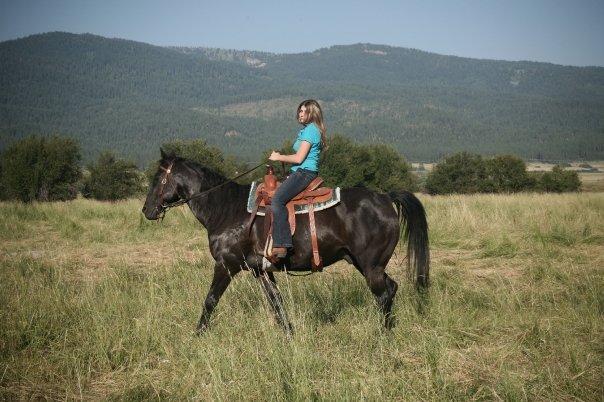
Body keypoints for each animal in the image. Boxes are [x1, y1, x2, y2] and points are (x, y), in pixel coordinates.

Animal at [143, 150, 430, 332]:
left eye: (158, 179)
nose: (147, 210)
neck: (226, 209)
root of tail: (385, 197)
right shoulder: (260, 271)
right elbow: (276, 303)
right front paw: (290, 333)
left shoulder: (226, 265)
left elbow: (211, 300)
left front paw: (198, 334)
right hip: (365, 264)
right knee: (391, 288)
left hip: (371, 266)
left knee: (383, 294)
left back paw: (383, 334)